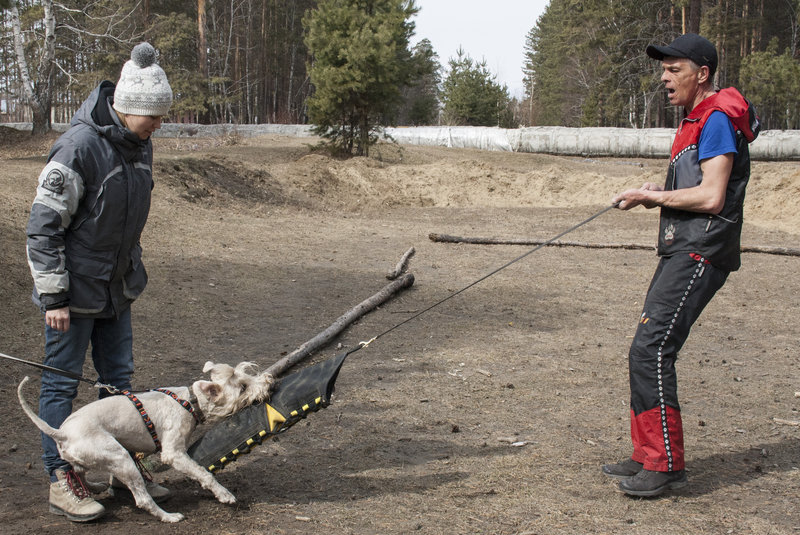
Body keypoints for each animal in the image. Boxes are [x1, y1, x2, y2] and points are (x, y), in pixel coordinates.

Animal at [17, 360, 274, 524]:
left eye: (247, 376)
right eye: (243, 387)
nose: (269, 381)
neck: (191, 401)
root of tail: (61, 433)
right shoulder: (173, 453)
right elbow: (204, 473)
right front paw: (224, 494)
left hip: (93, 457)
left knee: (78, 471)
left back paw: (94, 487)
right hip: (120, 457)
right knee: (141, 499)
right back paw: (169, 517)